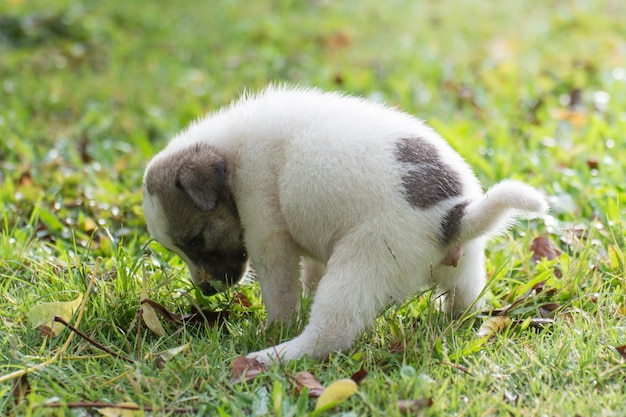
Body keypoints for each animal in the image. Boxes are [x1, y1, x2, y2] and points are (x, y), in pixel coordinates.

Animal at [143, 86, 544, 362]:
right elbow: (310, 273)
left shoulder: (266, 227)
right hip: (466, 271)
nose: (207, 291)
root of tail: (455, 216)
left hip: (364, 263)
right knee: (466, 303)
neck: (231, 156)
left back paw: (269, 356)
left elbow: (280, 289)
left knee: (330, 334)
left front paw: (274, 327)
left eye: (196, 240)